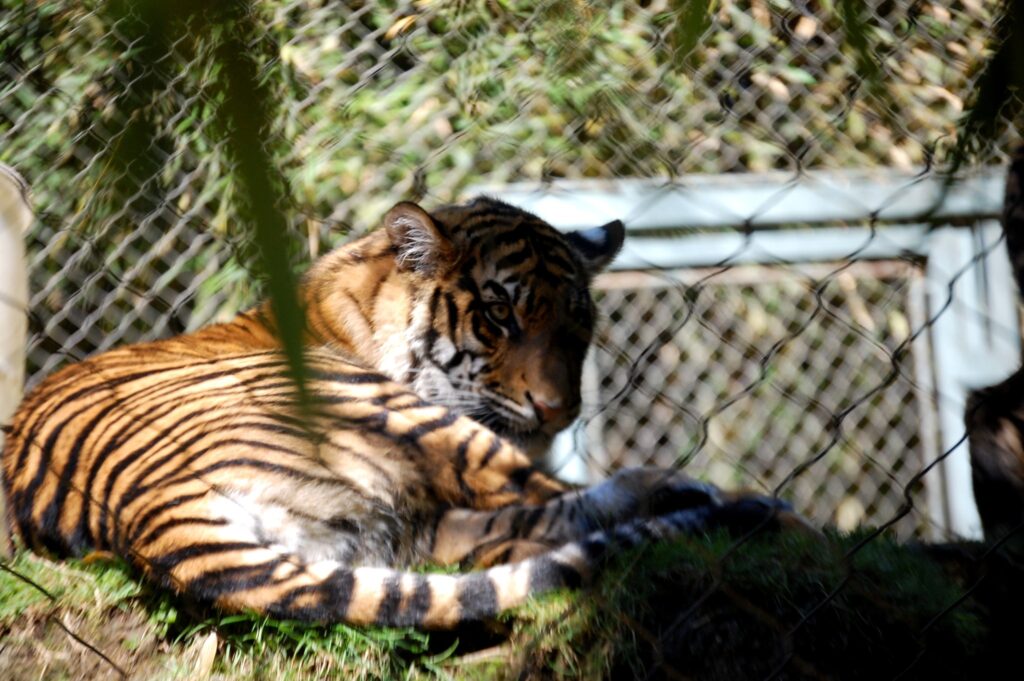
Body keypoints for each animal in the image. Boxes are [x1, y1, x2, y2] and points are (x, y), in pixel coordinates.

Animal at [2, 195, 798, 626]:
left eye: (577, 325)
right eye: (500, 316)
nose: (558, 410)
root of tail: (141, 510)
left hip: (388, 528)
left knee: (521, 528)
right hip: (385, 412)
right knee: (553, 495)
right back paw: (728, 499)